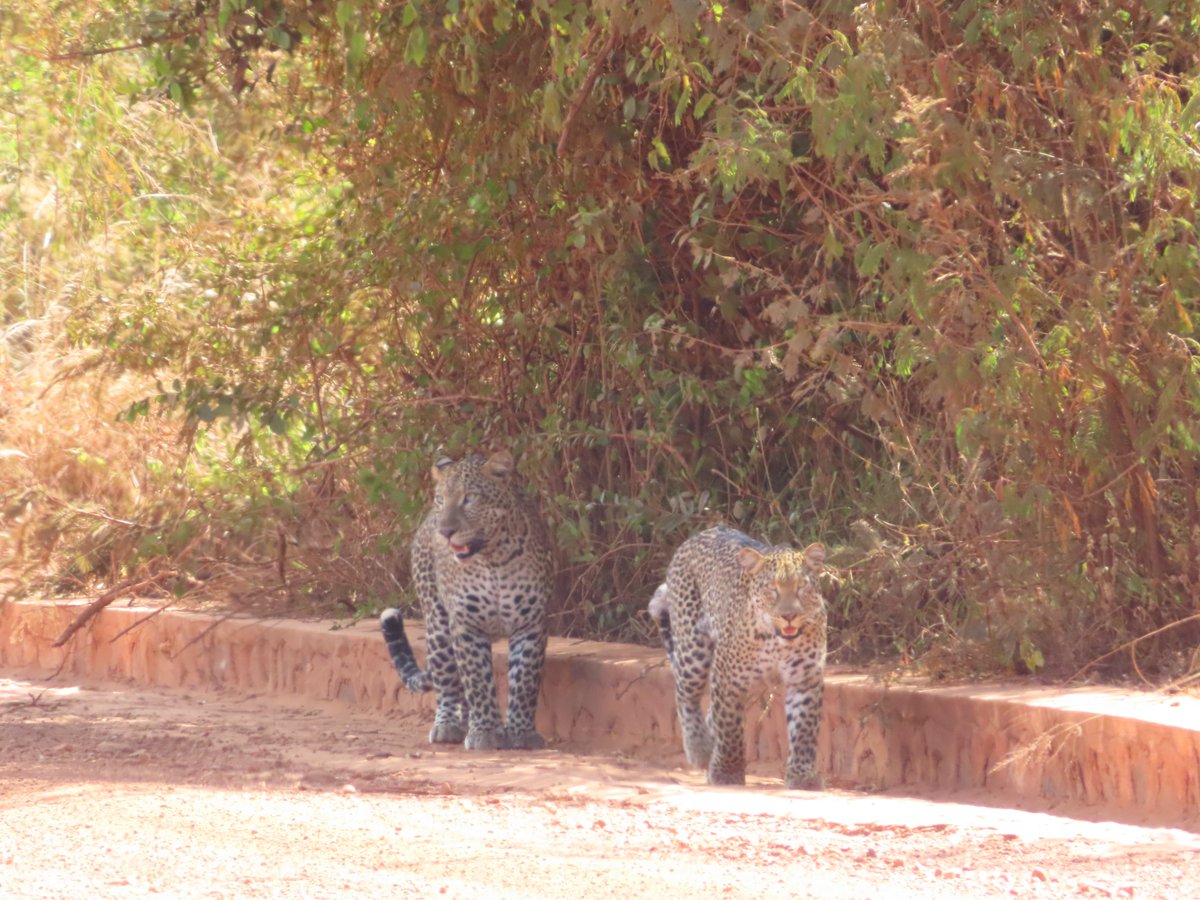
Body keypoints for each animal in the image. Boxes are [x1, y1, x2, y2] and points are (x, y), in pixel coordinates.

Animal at [380, 449, 553, 751]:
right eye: (441, 500)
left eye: (469, 498)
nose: (445, 531)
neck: (494, 560)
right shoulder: (466, 624)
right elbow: (477, 681)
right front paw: (485, 731)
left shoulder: (530, 624)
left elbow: (525, 680)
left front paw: (521, 732)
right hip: (438, 625)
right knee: (448, 681)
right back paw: (449, 725)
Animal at [648, 525, 827, 789]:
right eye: (772, 589)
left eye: (801, 587)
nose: (789, 616)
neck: (777, 642)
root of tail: (700, 534)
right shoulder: (727, 676)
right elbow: (729, 728)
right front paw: (727, 772)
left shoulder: (805, 679)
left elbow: (804, 730)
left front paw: (803, 776)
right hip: (693, 649)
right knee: (685, 694)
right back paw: (700, 749)